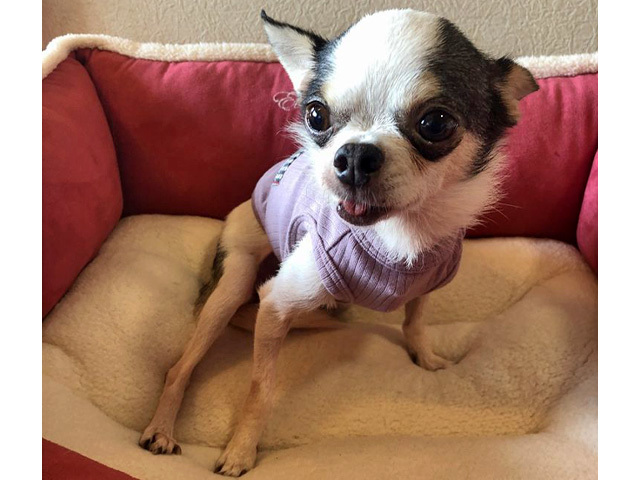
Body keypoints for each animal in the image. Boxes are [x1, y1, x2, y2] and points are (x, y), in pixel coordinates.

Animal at [139, 8, 538, 476]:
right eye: (316, 116)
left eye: (436, 124)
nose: (355, 156)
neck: (399, 237)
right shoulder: (275, 304)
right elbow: (262, 388)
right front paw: (240, 451)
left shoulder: (427, 283)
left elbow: (415, 321)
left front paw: (424, 355)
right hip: (234, 279)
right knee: (181, 365)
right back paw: (161, 428)